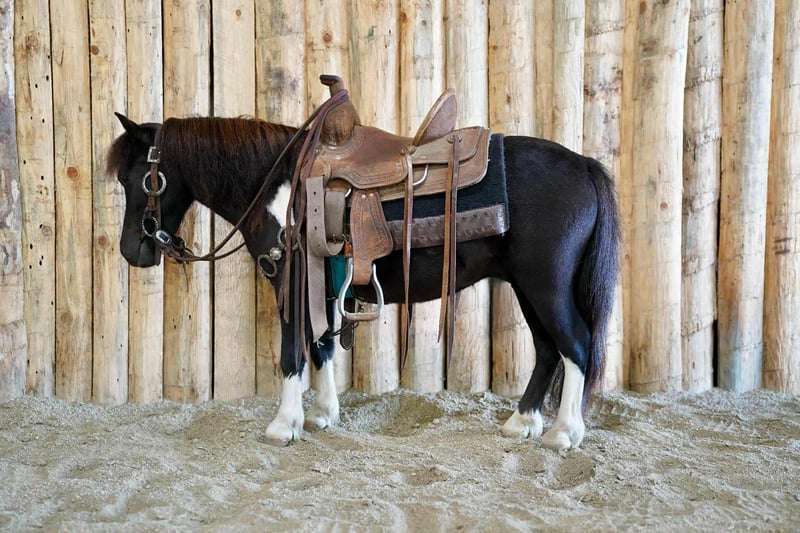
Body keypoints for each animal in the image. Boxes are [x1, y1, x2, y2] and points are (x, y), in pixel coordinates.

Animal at [107, 110, 621, 452]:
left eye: (138, 178)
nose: (132, 251)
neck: (275, 187)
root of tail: (585, 165)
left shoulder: (291, 281)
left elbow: (293, 352)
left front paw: (284, 424)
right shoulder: (318, 286)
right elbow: (321, 347)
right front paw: (321, 414)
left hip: (545, 284)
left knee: (576, 345)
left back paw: (563, 433)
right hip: (526, 286)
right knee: (549, 349)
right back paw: (523, 422)